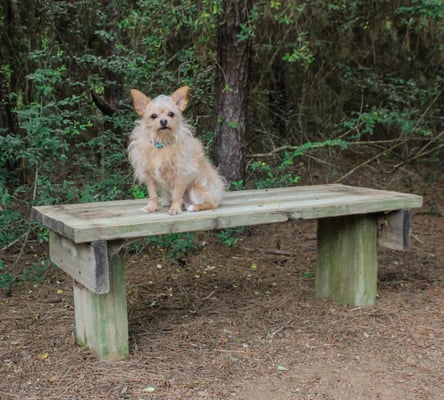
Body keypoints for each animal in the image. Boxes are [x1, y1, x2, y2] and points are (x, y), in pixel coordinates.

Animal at [127, 86, 225, 214]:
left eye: (171, 114)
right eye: (153, 116)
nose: (163, 121)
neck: (162, 143)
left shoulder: (181, 173)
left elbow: (177, 194)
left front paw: (175, 209)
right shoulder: (149, 175)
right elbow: (153, 194)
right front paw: (150, 207)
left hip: (196, 188)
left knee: (212, 203)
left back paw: (194, 207)